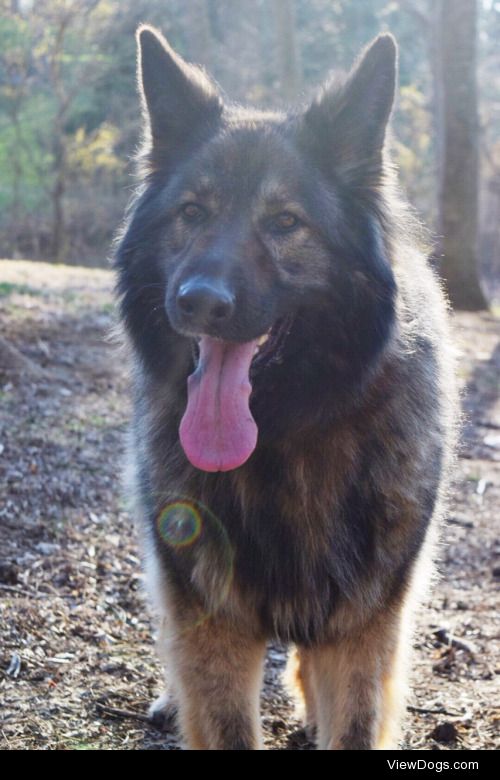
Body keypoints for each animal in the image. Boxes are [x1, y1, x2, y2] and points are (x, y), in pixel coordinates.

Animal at [113, 25, 458, 748]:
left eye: (285, 222)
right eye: (193, 212)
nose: (198, 302)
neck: (284, 438)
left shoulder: (363, 628)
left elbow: (353, 720)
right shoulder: (210, 626)